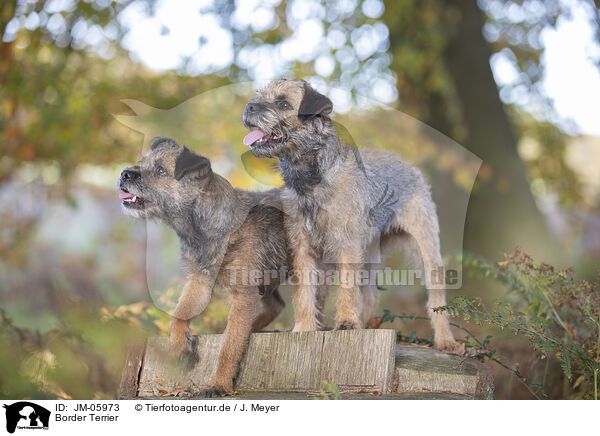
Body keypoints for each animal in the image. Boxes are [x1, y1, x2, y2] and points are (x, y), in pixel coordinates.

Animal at [118, 138, 290, 396]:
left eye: (160, 171)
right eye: (142, 162)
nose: (124, 174)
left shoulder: (244, 295)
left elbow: (229, 347)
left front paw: (219, 384)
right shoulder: (199, 283)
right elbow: (179, 313)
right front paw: (179, 345)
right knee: (276, 305)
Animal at [241, 77, 458, 350]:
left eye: (284, 104)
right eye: (261, 96)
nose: (249, 107)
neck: (312, 181)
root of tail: (410, 166)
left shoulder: (347, 245)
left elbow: (346, 286)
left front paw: (345, 323)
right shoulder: (302, 247)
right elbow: (305, 292)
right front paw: (303, 328)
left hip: (425, 248)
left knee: (436, 297)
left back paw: (445, 339)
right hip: (369, 253)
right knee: (371, 295)